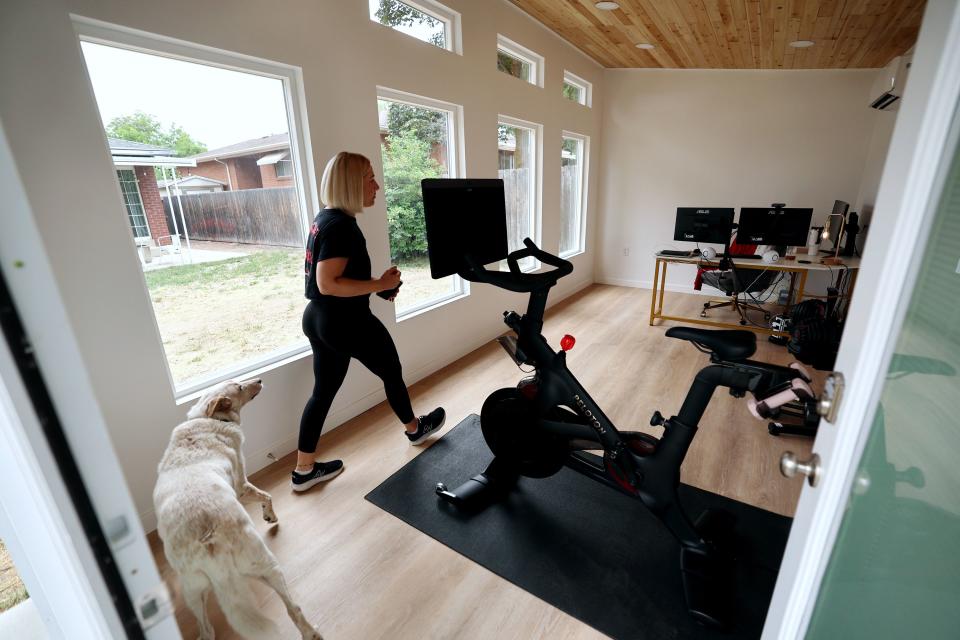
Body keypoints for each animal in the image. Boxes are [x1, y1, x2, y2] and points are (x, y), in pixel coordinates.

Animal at [154, 380, 322, 640]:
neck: (210, 418)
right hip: (267, 565)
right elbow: (267, 495)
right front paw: (269, 515)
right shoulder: (242, 485)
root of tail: (210, 542)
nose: (260, 380)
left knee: (207, 630)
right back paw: (311, 632)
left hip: (193, 591)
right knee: (293, 607)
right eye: (240, 387)